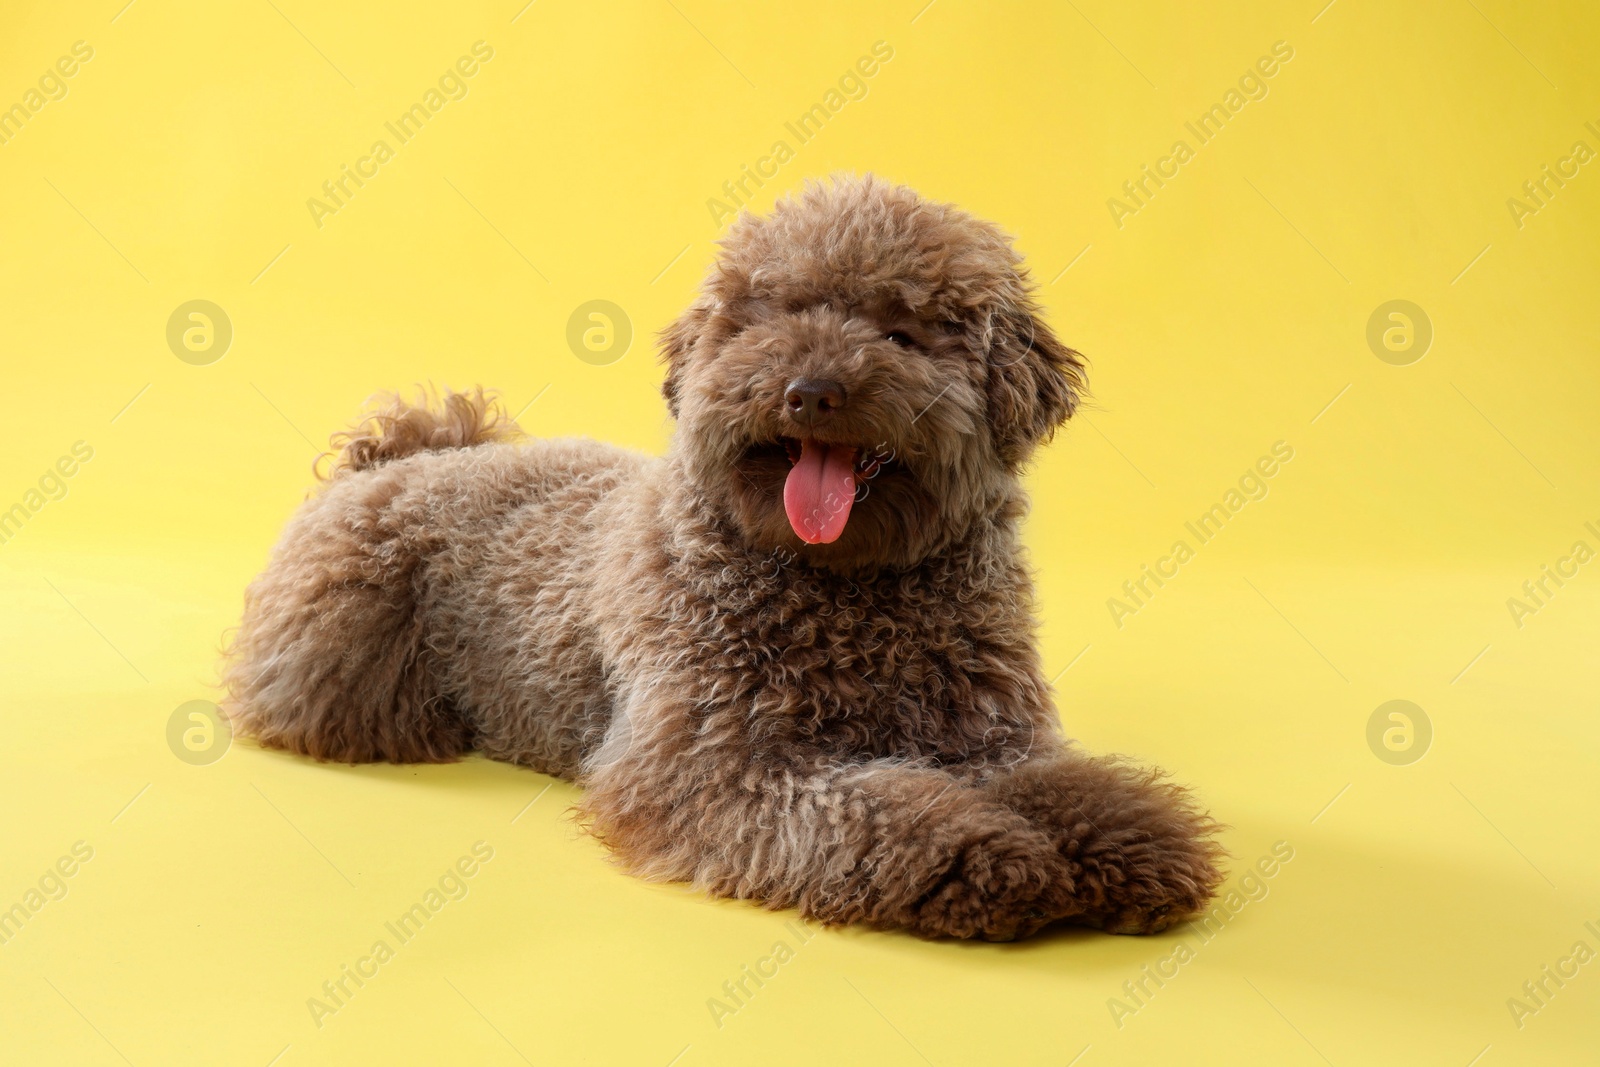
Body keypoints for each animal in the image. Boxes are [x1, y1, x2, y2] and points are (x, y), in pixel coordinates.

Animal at [222, 177, 1222, 940]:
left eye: (902, 332)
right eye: (765, 321)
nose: (810, 390)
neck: (847, 590)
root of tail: (406, 454)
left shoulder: (985, 732)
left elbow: (1064, 781)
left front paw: (1133, 837)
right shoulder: (710, 765)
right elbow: (872, 814)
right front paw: (989, 857)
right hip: (338, 654)